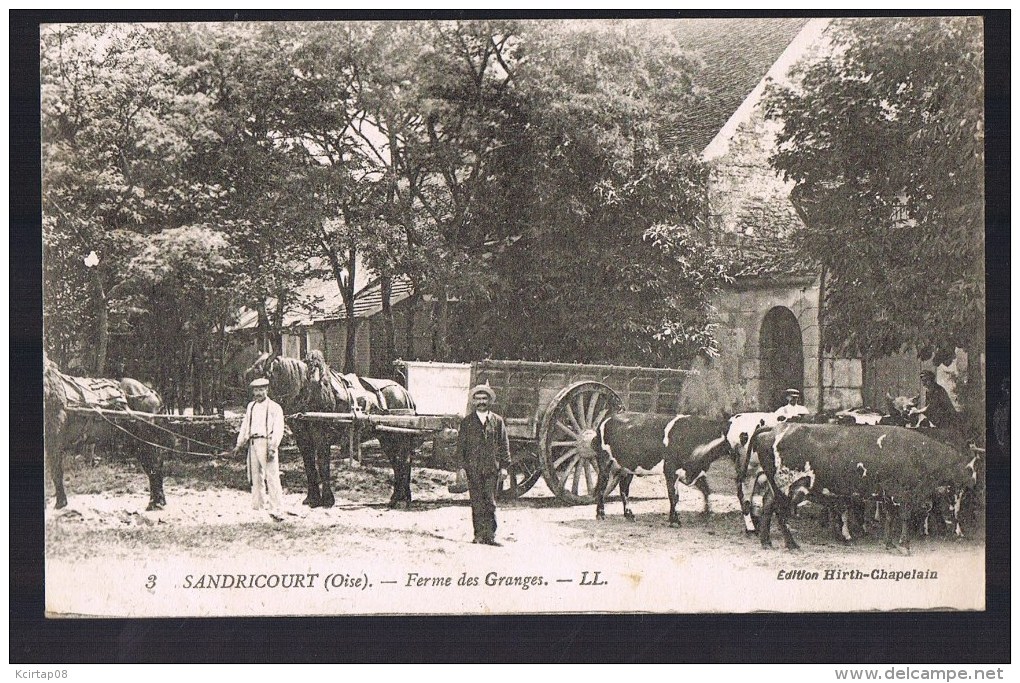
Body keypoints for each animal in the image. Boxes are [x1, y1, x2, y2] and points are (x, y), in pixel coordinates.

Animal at [43, 360, 171, 511]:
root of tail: (153, 394)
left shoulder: (53, 439)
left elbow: (56, 470)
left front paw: (60, 503)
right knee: (152, 465)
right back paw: (156, 501)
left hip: (146, 438)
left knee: (154, 465)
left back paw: (156, 502)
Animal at [243, 352, 418, 507]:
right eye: (249, 378)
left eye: (261, 379)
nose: (251, 406)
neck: (308, 392)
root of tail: (403, 391)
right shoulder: (302, 439)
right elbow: (309, 466)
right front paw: (312, 498)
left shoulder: (321, 437)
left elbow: (322, 465)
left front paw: (327, 499)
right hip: (386, 437)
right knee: (398, 463)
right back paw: (398, 497)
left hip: (397, 436)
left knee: (403, 462)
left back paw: (401, 498)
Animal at [591, 411, 734, 530]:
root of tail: (608, 417)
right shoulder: (671, 471)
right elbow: (674, 496)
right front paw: (674, 521)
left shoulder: (696, 472)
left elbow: (706, 490)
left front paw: (707, 512)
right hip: (604, 462)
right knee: (602, 487)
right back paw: (600, 514)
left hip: (627, 468)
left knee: (624, 490)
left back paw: (629, 515)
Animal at [750, 422, 979, 554]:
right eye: (971, 467)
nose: (975, 483)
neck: (917, 454)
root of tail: (775, 428)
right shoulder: (903, 493)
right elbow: (903, 518)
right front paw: (905, 546)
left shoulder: (888, 494)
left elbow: (890, 518)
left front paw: (890, 544)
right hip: (787, 487)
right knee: (780, 513)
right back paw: (792, 545)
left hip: (776, 486)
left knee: (768, 504)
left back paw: (766, 541)